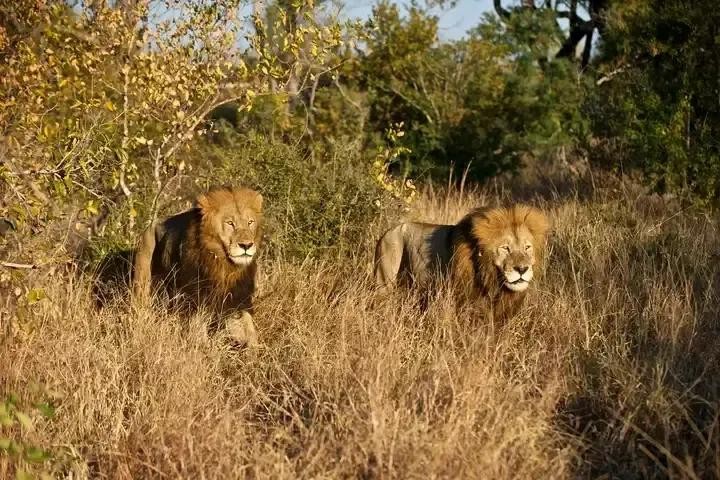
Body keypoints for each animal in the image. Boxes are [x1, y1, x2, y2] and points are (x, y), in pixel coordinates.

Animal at [97, 185, 264, 347]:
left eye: (250, 222)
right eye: (230, 223)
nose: (246, 245)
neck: (224, 264)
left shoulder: (238, 297)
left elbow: (249, 329)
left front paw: (254, 351)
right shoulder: (196, 297)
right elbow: (198, 326)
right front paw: (201, 347)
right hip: (142, 282)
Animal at [374, 204, 550, 322]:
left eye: (527, 247)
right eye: (505, 248)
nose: (522, 269)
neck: (491, 279)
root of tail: (385, 234)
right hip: (384, 282)